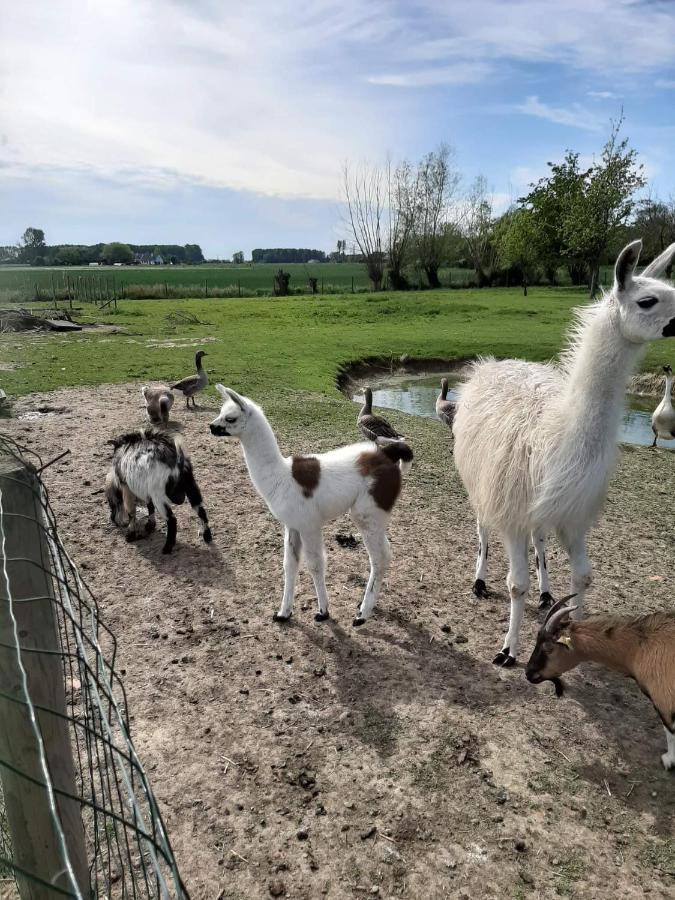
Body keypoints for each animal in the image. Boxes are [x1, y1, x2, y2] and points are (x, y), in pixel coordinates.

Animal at [528, 596, 675, 772]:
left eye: (549, 648)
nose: (529, 673)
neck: (640, 646)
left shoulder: (664, 700)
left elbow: (670, 731)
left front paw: (669, 760)